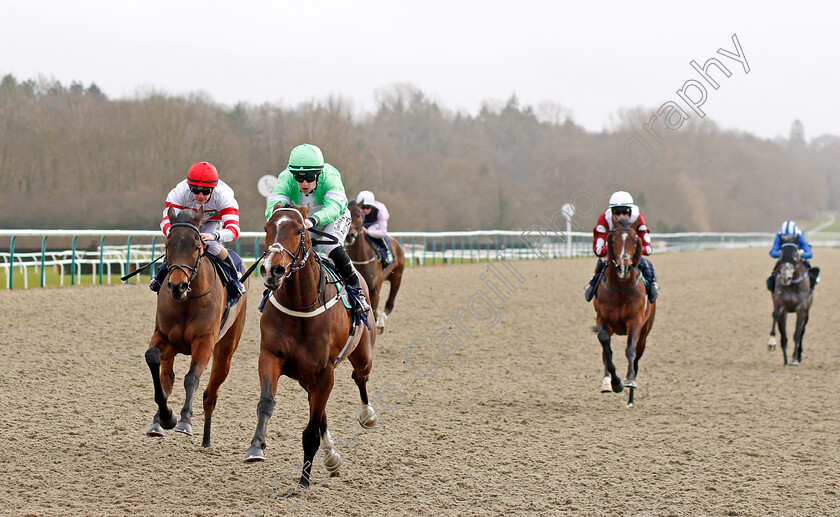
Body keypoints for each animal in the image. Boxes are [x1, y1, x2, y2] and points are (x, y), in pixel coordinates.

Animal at [143, 208, 248, 446]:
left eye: (196, 246)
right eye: (168, 245)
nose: (177, 285)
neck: (187, 301)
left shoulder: (204, 341)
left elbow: (192, 377)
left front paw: (184, 421)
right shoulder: (166, 338)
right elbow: (153, 359)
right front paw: (167, 416)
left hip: (226, 351)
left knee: (211, 394)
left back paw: (206, 440)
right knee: (168, 378)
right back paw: (157, 423)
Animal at [241, 205, 376, 488]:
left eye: (298, 230)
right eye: (267, 228)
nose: (272, 270)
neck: (301, 305)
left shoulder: (325, 372)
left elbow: (312, 431)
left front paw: (303, 481)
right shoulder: (270, 356)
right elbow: (266, 402)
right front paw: (256, 447)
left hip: (361, 355)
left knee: (360, 377)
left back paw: (368, 415)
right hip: (306, 376)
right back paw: (331, 456)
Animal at [344, 200, 404, 332]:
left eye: (358, 215)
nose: (349, 236)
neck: (361, 259)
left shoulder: (375, 290)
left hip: (397, 277)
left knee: (390, 304)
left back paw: (381, 321)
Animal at [592, 218, 656, 408]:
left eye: (635, 241)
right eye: (613, 240)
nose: (623, 268)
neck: (620, 288)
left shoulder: (635, 322)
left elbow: (630, 350)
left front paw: (629, 381)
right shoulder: (603, 320)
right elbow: (606, 350)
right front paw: (615, 383)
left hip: (645, 331)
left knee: (636, 360)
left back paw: (631, 399)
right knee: (606, 351)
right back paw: (607, 383)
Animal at [768, 236, 812, 364]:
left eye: (794, 254)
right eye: (781, 254)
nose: (785, 278)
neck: (792, 284)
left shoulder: (801, 307)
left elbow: (797, 333)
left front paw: (794, 359)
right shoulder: (781, 305)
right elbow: (776, 317)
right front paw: (772, 343)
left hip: (807, 311)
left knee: (802, 331)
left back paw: (798, 355)